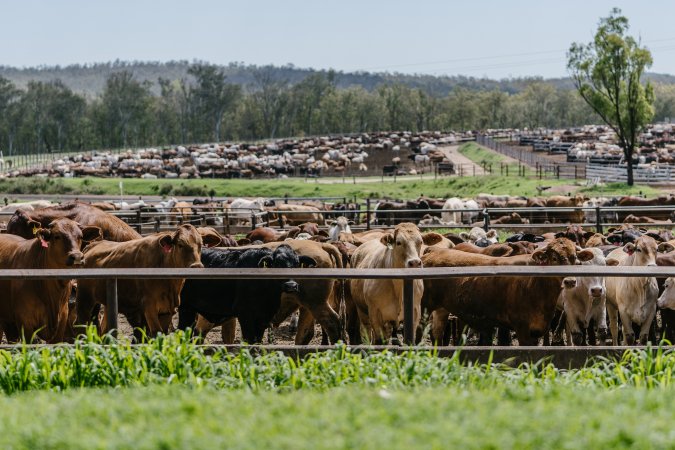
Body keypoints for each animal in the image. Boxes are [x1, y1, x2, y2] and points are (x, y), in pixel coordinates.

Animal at [75, 223, 205, 336]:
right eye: (180, 244)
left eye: (200, 245)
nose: (197, 266)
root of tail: (91, 246)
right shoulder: (149, 306)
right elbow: (156, 333)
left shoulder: (167, 310)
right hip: (84, 299)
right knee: (80, 324)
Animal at [180, 244, 316, 342]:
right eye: (277, 264)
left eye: (296, 264)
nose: (291, 285)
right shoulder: (245, 314)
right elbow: (249, 340)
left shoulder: (264, 317)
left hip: (189, 308)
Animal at [422, 237, 588, 346]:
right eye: (554, 258)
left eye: (575, 258)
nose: (570, 281)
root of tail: (431, 252)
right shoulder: (522, 329)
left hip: (442, 309)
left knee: (437, 333)